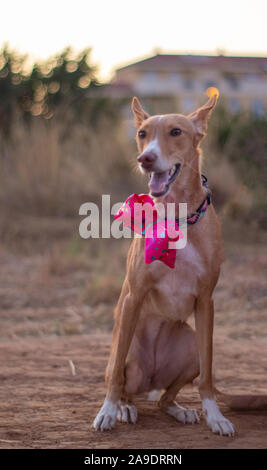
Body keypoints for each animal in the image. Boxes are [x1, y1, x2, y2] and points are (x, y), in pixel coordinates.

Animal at [93, 95, 266, 436]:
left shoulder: (206, 301)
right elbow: (116, 375)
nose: (146, 158)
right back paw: (124, 407)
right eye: (142, 133)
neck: (176, 214)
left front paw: (215, 416)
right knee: (123, 380)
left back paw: (180, 410)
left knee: (165, 399)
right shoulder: (133, 296)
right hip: (130, 352)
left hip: (190, 348)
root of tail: (151, 380)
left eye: (176, 131)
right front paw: (107, 411)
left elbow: (208, 379)